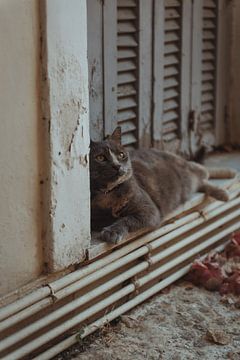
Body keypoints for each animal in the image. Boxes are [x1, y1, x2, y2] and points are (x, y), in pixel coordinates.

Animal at [90, 127, 234, 245]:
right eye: (100, 157)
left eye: (121, 155)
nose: (117, 165)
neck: (110, 192)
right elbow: (104, 218)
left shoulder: (150, 211)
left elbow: (127, 218)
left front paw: (112, 231)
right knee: (201, 181)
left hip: (187, 170)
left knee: (204, 171)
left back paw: (226, 184)